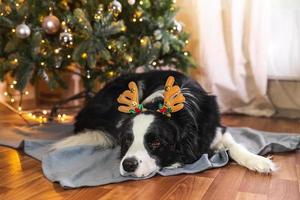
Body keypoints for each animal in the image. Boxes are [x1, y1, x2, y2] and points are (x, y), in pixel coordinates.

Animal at [52, 71, 276, 177]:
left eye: (156, 143)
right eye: (127, 141)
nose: (128, 165)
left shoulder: (217, 129)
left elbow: (235, 147)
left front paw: (259, 162)